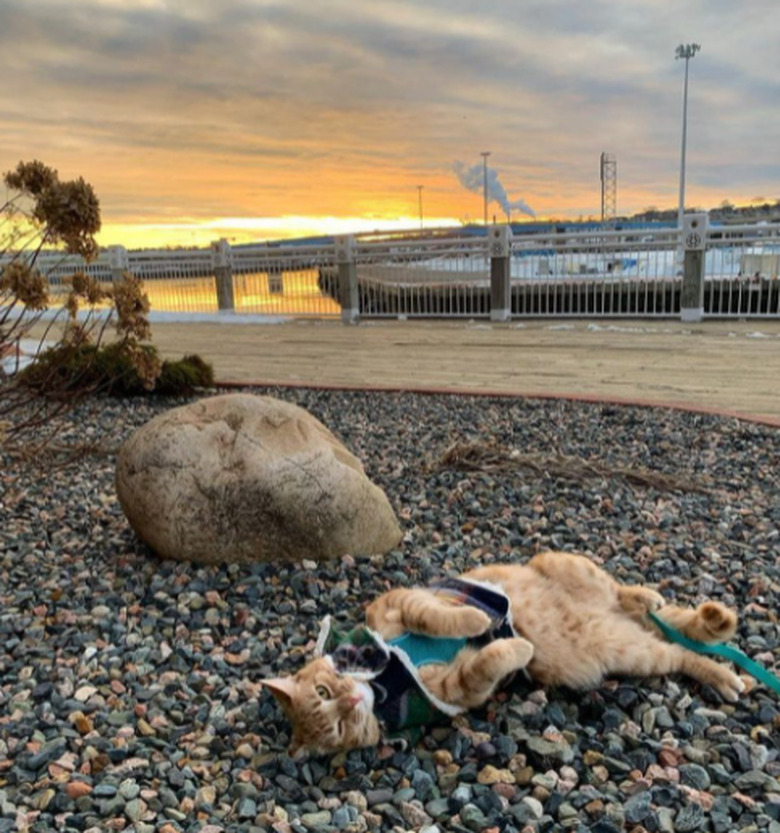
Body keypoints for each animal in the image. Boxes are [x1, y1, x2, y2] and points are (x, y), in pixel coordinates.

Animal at [262, 552, 744, 752]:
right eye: (336, 728)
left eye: (323, 691)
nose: (351, 699)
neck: (385, 681)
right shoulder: (458, 692)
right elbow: (488, 662)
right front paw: (517, 644)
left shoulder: (397, 603)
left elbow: (435, 616)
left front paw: (477, 621)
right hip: (630, 651)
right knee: (677, 651)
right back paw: (724, 675)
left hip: (566, 564)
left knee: (625, 593)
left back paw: (649, 598)